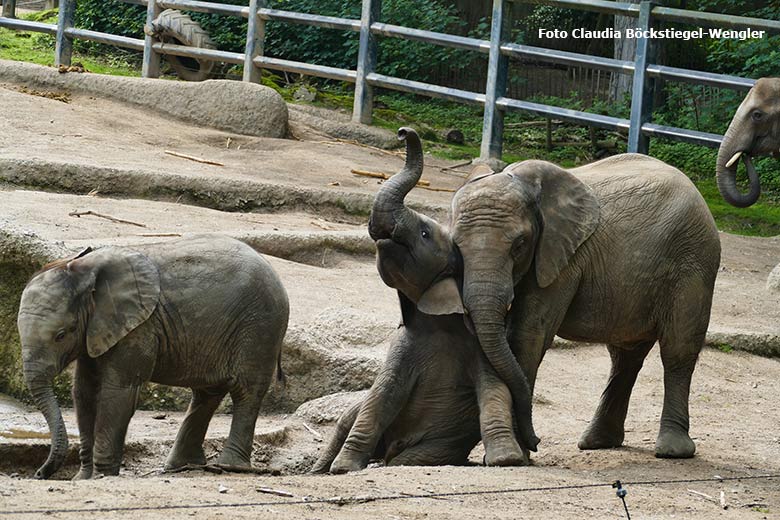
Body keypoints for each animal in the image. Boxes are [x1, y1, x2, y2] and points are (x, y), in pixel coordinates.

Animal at [18, 236, 290, 480]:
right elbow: (84, 392)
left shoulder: (139, 327)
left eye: (62, 335)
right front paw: (82, 478)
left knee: (245, 391)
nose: (40, 474)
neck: (84, 269)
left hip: (260, 327)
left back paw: (230, 466)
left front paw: (101, 476)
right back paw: (181, 466)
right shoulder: (97, 331)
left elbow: (117, 392)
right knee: (207, 393)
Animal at [310, 128, 524, 474]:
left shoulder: (477, 347)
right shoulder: (401, 347)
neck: (438, 324)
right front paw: (343, 468)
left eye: (424, 233)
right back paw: (321, 469)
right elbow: (380, 396)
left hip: (440, 446)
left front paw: (506, 460)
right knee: (347, 418)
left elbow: (494, 389)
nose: (403, 133)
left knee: (413, 458)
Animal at [448, 152, 724, 458]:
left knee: (677, 350)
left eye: (519, 244)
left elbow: (527, 334)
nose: (538, 441)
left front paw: (519, 454)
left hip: (693, 262)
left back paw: (672, 451)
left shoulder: (563, 259)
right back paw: (598, 442)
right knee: (625, 357)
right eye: (455, 245)